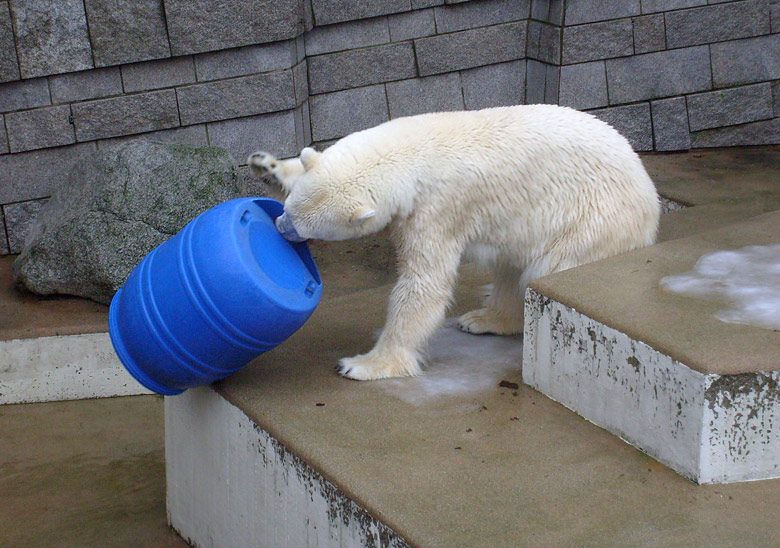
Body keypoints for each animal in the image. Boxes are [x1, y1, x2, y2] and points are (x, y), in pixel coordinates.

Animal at [248, 106, 660, 382]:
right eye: (289, 208)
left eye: (305, 227)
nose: (280, 227)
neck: (412, 149)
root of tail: (650, 196)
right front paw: (268, 165)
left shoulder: (436, 209)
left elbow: (423, 283)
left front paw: (362, 364)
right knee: (510, 267)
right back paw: (485, 319)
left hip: (592, 219)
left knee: (546, 269)